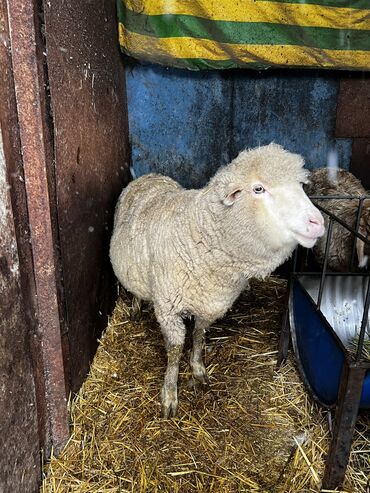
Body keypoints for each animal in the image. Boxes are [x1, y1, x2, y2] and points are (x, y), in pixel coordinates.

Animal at [110, 142, 324, 416]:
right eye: (258, 188)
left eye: (300, 185)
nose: (318, 222)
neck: (198, 233)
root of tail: (149, 175)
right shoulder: (168, 309)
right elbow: (175, 351)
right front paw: (169, 392)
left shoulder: (209, 302)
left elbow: (199, 336)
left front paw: (198, 368)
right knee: (136, 290)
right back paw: (136, 307)